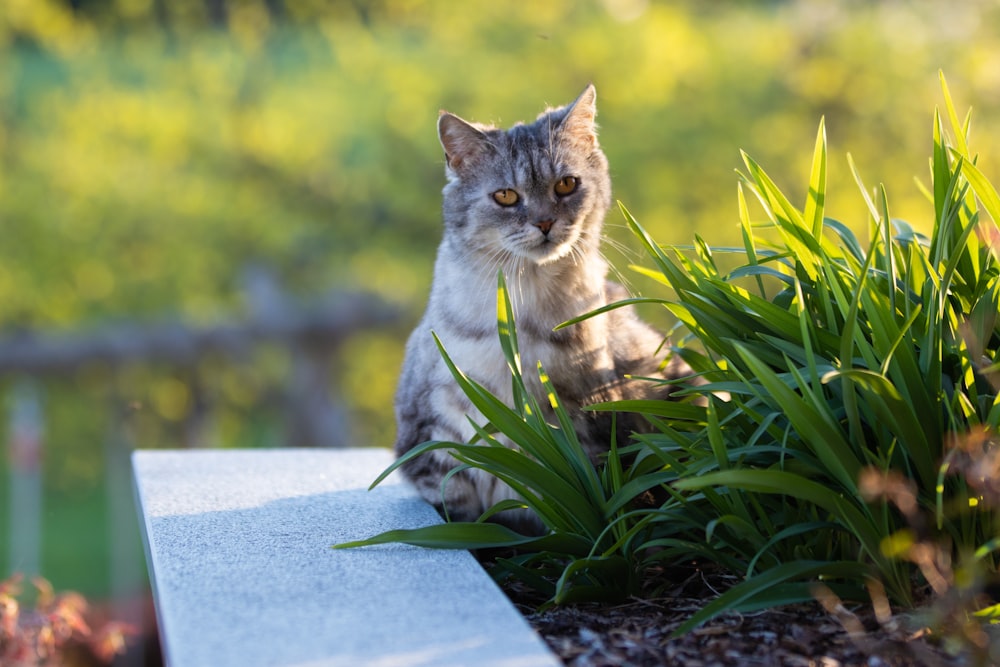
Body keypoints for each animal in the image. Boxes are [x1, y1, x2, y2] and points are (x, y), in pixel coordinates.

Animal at [394, 85, 684, 532]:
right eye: (505, 195)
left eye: (566, 184)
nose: (545, 223)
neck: (521, 316)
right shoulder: (434, 435)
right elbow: (459, 508)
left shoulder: (591, 423)